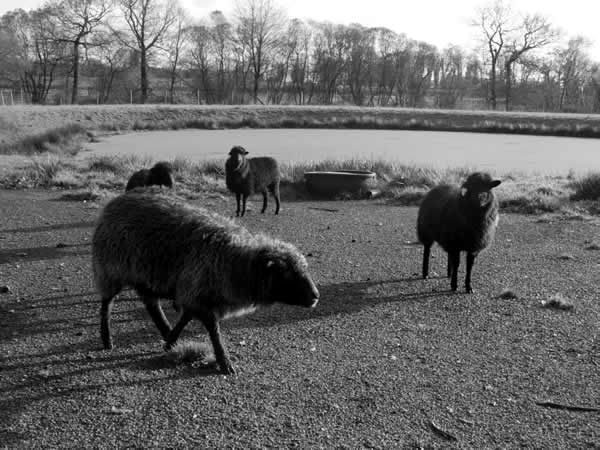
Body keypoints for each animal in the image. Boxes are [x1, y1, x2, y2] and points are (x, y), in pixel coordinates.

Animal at [91, 192, 318, 374]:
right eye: (287, 275)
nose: (316, 296)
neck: (235, 260)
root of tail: (116, 201)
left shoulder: (196, 294)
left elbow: (186, 318)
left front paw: (171, 341)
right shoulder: (198, 293)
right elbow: (213, 330)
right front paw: (224, 362)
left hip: (144, 276)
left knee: (151, 305)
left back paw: (164, 329)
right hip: (110, 270)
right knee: (107, 304)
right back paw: (107, 339)